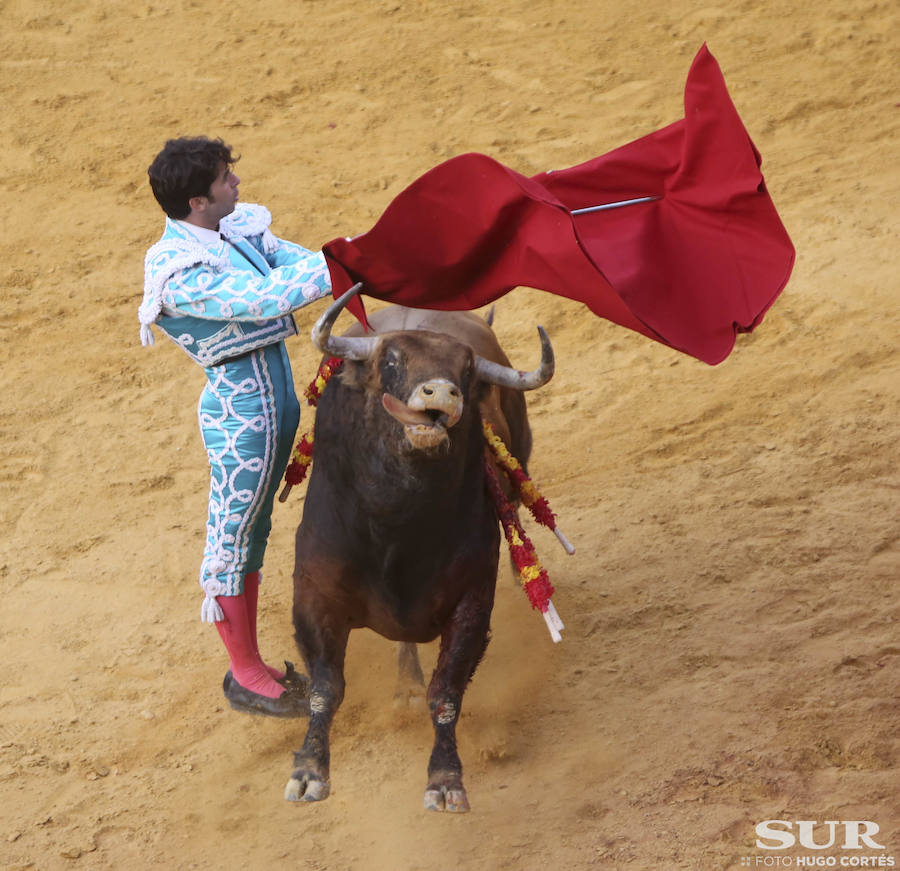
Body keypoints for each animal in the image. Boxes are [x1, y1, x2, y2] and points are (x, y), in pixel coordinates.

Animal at [286, 286, 556, 812]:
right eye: (391, 360)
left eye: (467, 372)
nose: (442, 392)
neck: (399, 526)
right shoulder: (314, 593)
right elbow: (325, 687)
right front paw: (308, 772)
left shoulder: (473, 601)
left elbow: (446, 692)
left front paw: (445, 781)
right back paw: (404, 685)